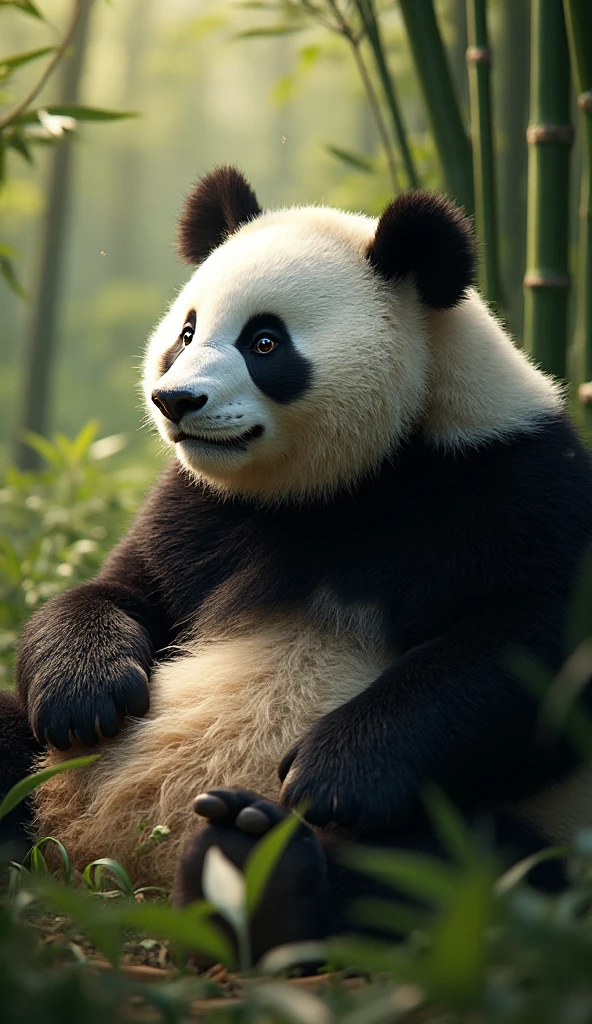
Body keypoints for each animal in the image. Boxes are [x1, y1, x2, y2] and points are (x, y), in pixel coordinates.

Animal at [1, 165, 592, 959]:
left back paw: (262, 864)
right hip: (40, 780)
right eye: (187, 331)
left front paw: (335, 772)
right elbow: (119, 591)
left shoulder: (513, 482)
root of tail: (110, 866)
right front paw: (84, 693)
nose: (175, 399)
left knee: (459, 871)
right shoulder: (199, 510)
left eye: (265, 341)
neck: (346, 484)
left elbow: (533, 650)